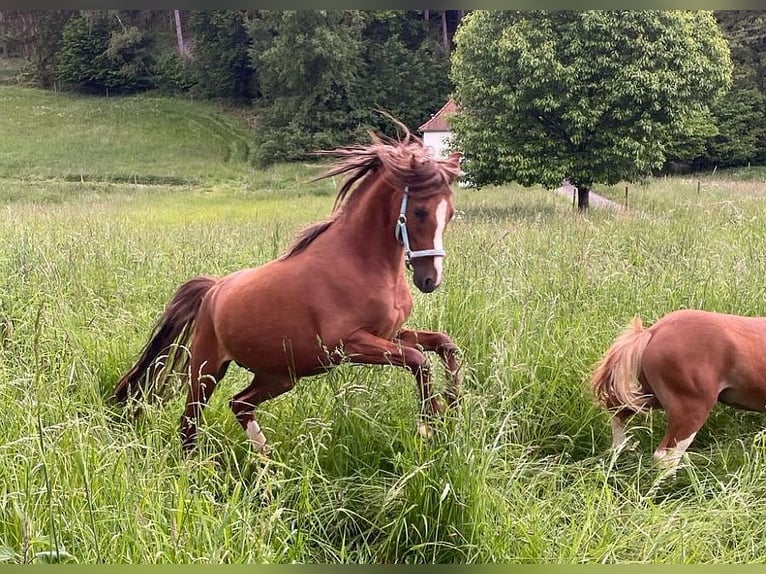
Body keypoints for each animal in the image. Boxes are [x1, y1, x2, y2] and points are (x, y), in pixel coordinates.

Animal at [113, 122, 462, 454]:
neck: (359, 262)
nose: (430, 279)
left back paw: (267, 461)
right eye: (419, 211)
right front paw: (430, 423)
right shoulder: (347, 344)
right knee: (189, 424)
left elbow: (444, 344)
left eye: (450, 213)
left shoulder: (388, 334)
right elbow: (418, 359)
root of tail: (213, 289)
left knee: (239, 404)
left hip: (279, 375)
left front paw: (454, 406)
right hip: (207, 367)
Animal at [592, 312, 766, 474]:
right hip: (691, 410)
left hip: (650, 396)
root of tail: (653, 331)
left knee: (616, 408)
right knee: (666, 456)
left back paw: (618, 451)